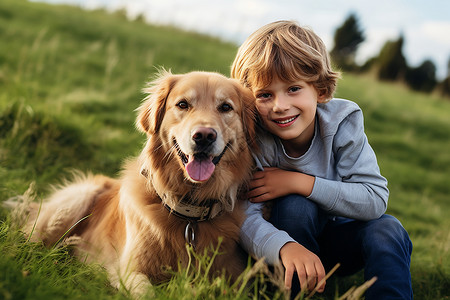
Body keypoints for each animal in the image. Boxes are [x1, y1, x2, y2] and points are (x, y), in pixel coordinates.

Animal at [22, 71, 256, 296]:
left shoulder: (237, 281)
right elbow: (147, 293)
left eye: (225, 107)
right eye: (183, 104)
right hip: (79, 197)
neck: (189, 215)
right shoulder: (130, 271)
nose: (204, 136)